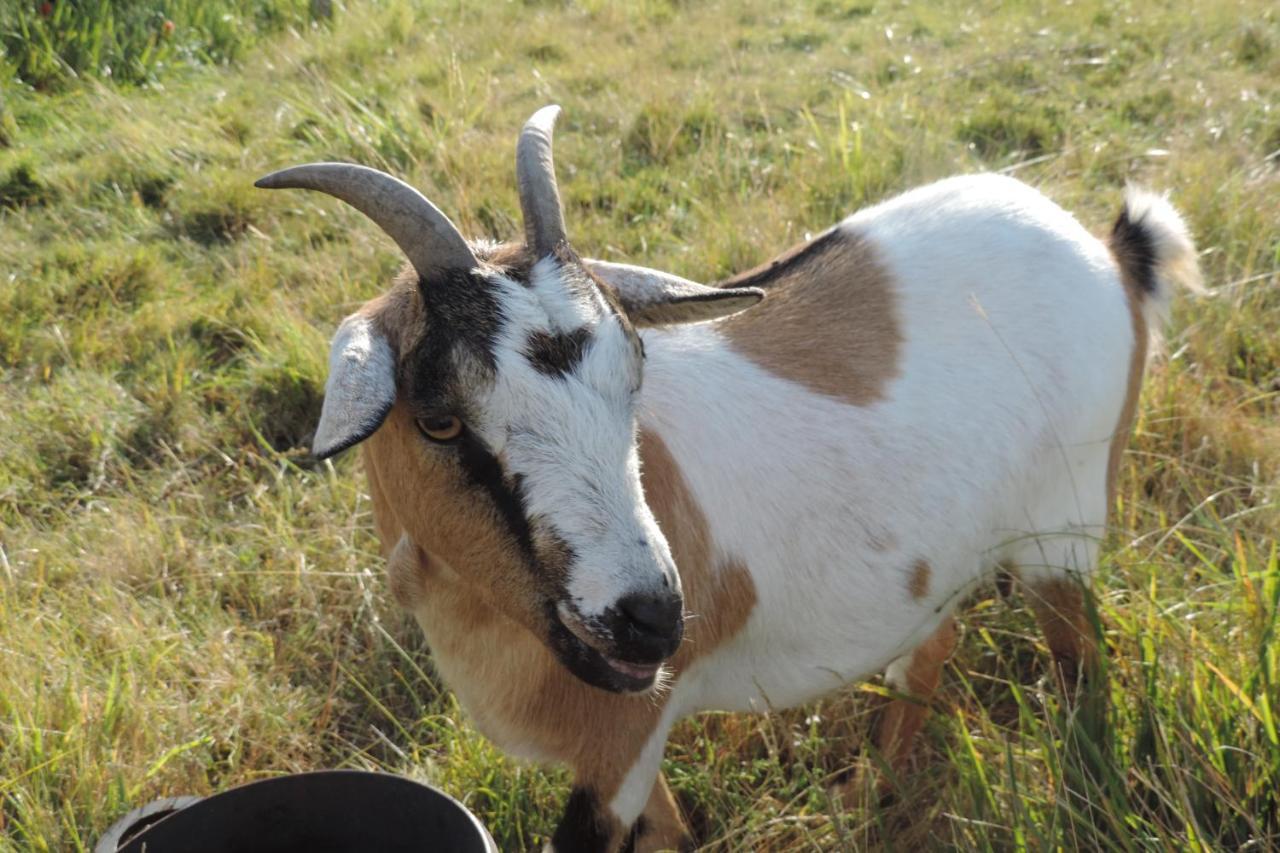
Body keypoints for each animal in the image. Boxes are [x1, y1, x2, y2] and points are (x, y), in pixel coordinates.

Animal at [257, 103, 1198, 845]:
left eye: (635, 368)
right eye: (440, 418)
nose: (649, 621)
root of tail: (1106, 250)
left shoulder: (621, 747)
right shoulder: (628, 751)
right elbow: (674, 831)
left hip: (1063, 534)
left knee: (1081, 671)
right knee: (934, 645)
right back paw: (867, 795)